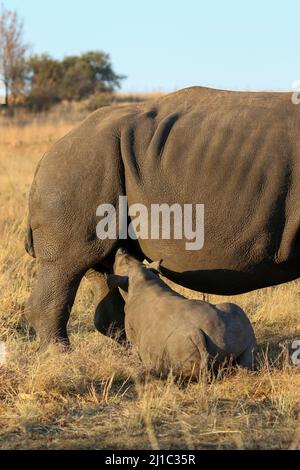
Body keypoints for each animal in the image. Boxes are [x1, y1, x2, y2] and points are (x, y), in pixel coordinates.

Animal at [108, 248, 258, 376]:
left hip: (175, 344)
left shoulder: (131, 333)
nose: (120, 249)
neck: (140, 279)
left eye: (118, 263)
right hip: (235, 327)